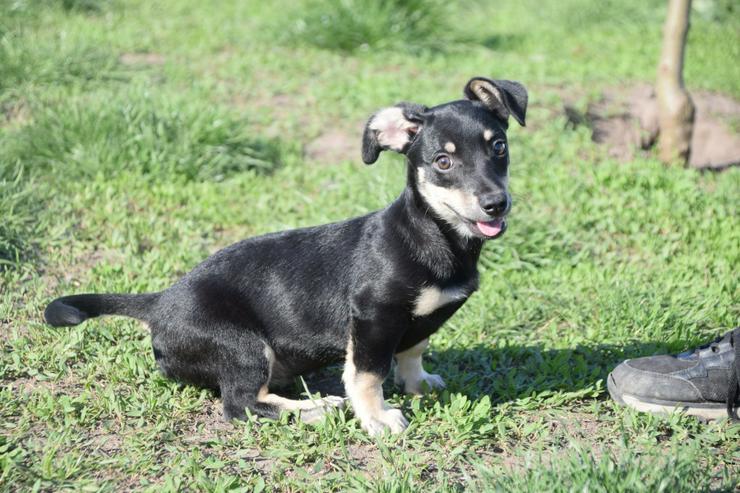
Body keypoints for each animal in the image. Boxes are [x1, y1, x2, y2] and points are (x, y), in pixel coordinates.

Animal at [44, 77, 528, 434]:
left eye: (499, 147)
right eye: (443, 162)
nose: (496, 204)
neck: (433, 235)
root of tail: (159, 302)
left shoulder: (416, 321)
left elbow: (414, 348)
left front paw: (418, 383)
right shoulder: (373, 318)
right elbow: (367, 375)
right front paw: (377, 418)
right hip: (242, 345)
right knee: (240, 404)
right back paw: (315, 409)